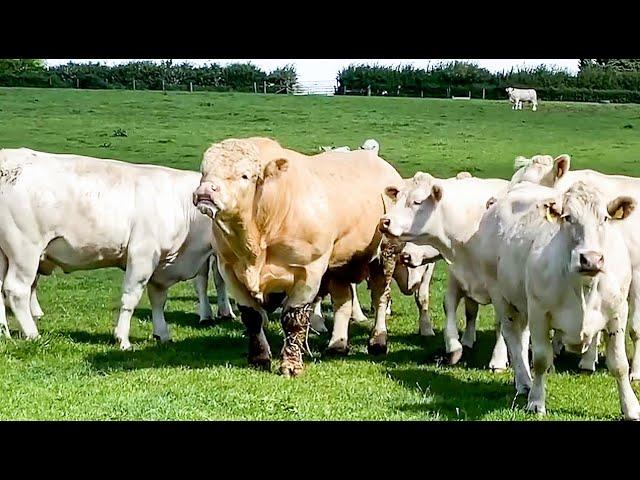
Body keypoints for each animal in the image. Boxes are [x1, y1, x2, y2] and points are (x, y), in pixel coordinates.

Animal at [0, 148, 235, 346]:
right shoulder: (142, 255)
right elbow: (131, 297)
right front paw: (123, 339)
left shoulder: (161, 264)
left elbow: (158, 300)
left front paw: (162, 334)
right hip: (25, 251)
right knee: (16, 290)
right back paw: (33, 334)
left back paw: (4, 332)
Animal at [192, 137, 402, 376]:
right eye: (204, 171)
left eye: (245, 175)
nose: (206, 191)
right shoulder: (229, 270)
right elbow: (252, 317)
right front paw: (259, 358)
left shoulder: (309, 270)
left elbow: (294, 318)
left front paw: (291, 365)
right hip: (339, 264)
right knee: (343, 300)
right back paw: (337, 345)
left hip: (385, 255)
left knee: (380, 297)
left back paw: (378, 342)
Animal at [378, 172, 508, 368]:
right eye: (397, 199)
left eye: (417, 202)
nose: (384, 221)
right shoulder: (458, 275)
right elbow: (451, 306)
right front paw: (455, 347)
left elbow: (502, 323)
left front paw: (498, 359)